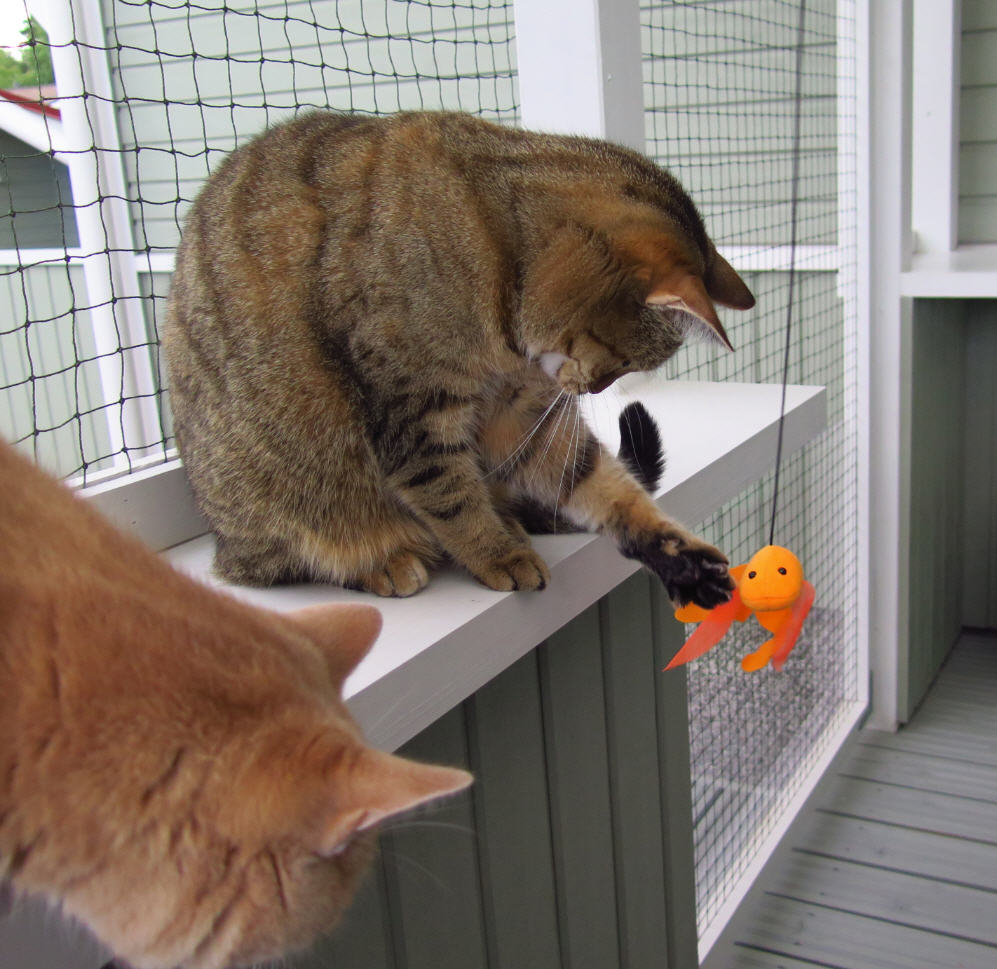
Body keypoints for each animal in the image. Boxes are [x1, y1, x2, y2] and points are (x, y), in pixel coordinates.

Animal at [164, 110, 755, 606]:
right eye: (627, 363)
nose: (595, 390)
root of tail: (221, 540)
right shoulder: (410, 406)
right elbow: (448, 493)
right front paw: (497, 554)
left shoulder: (524, 415)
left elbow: (602, 485)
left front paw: (672, 553)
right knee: (288, 560)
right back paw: (388, 560)